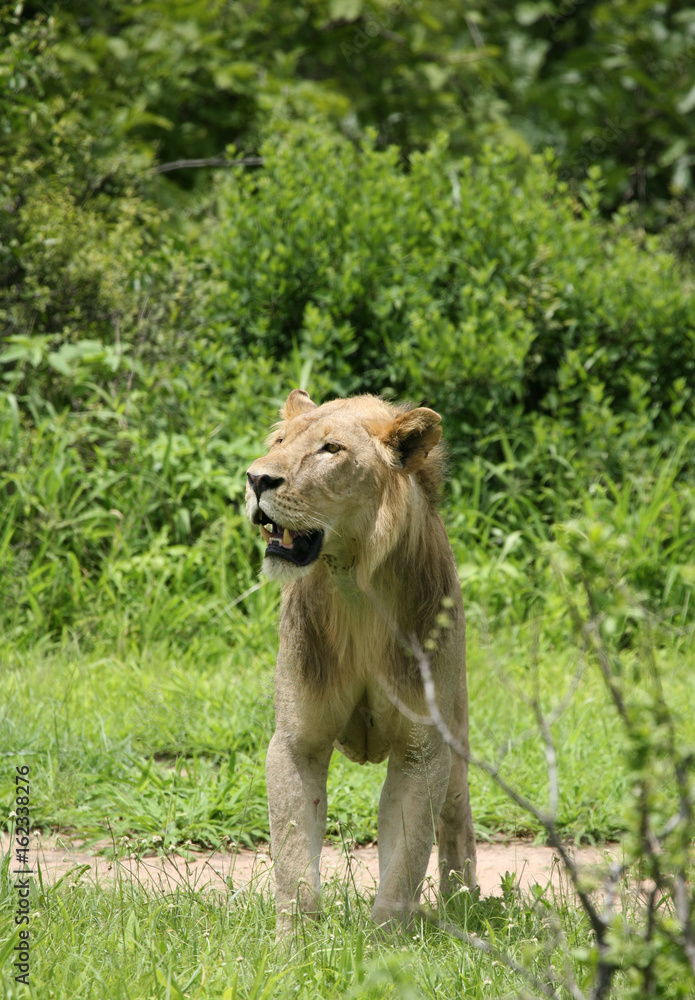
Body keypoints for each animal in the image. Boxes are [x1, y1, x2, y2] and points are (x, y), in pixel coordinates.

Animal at [246, 389, 476, 931]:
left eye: (331, 449)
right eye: (280, 443)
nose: (256, 479)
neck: (355, 585)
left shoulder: (422, 750)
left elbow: (405, 859)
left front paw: (385, 943)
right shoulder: (296, 742)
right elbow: (293, 855)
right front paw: (295, 941)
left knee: (457, 823)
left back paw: (464, 906)